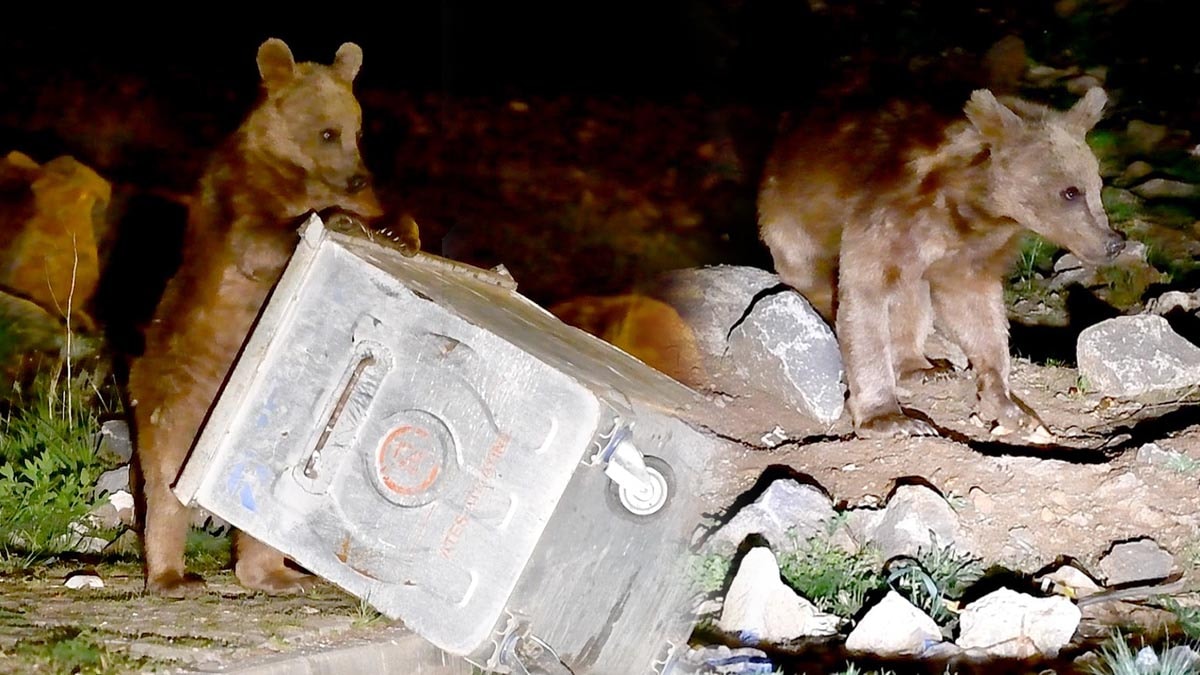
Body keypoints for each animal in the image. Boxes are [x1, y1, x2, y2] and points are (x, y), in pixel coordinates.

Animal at [127, 38, 382, 596]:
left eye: (357, 130)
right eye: (327, 132)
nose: (359, 176)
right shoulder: (240, 195)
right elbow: (259, 242)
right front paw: (337, 219)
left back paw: (278, 574)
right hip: (178, 405)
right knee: (164, 492)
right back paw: (173, 576)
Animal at [758, 87, 1124, 440]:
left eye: (1097, 186)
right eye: (1070, 192)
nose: (1114, 242)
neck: (971, 210)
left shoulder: (967, 256)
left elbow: (978, 314)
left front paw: (1010, 406)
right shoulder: (884, 220)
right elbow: (864, 302)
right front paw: (890, 418)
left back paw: (923, 367)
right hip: (791, 225)